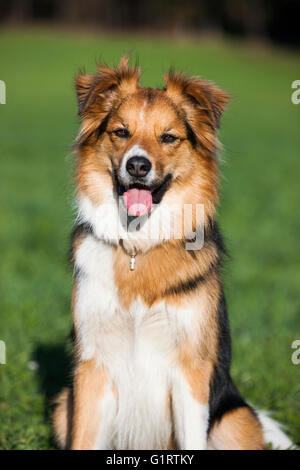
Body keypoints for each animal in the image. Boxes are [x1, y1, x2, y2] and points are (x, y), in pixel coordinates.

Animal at [52, 57, 292, 450]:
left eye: (168, 137)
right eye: (121, 132)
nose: (137, 165)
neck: (139, 246)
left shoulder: (190, 370)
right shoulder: (92, 364)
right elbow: (83, 439)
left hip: (235, 420)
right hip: (62, 406)